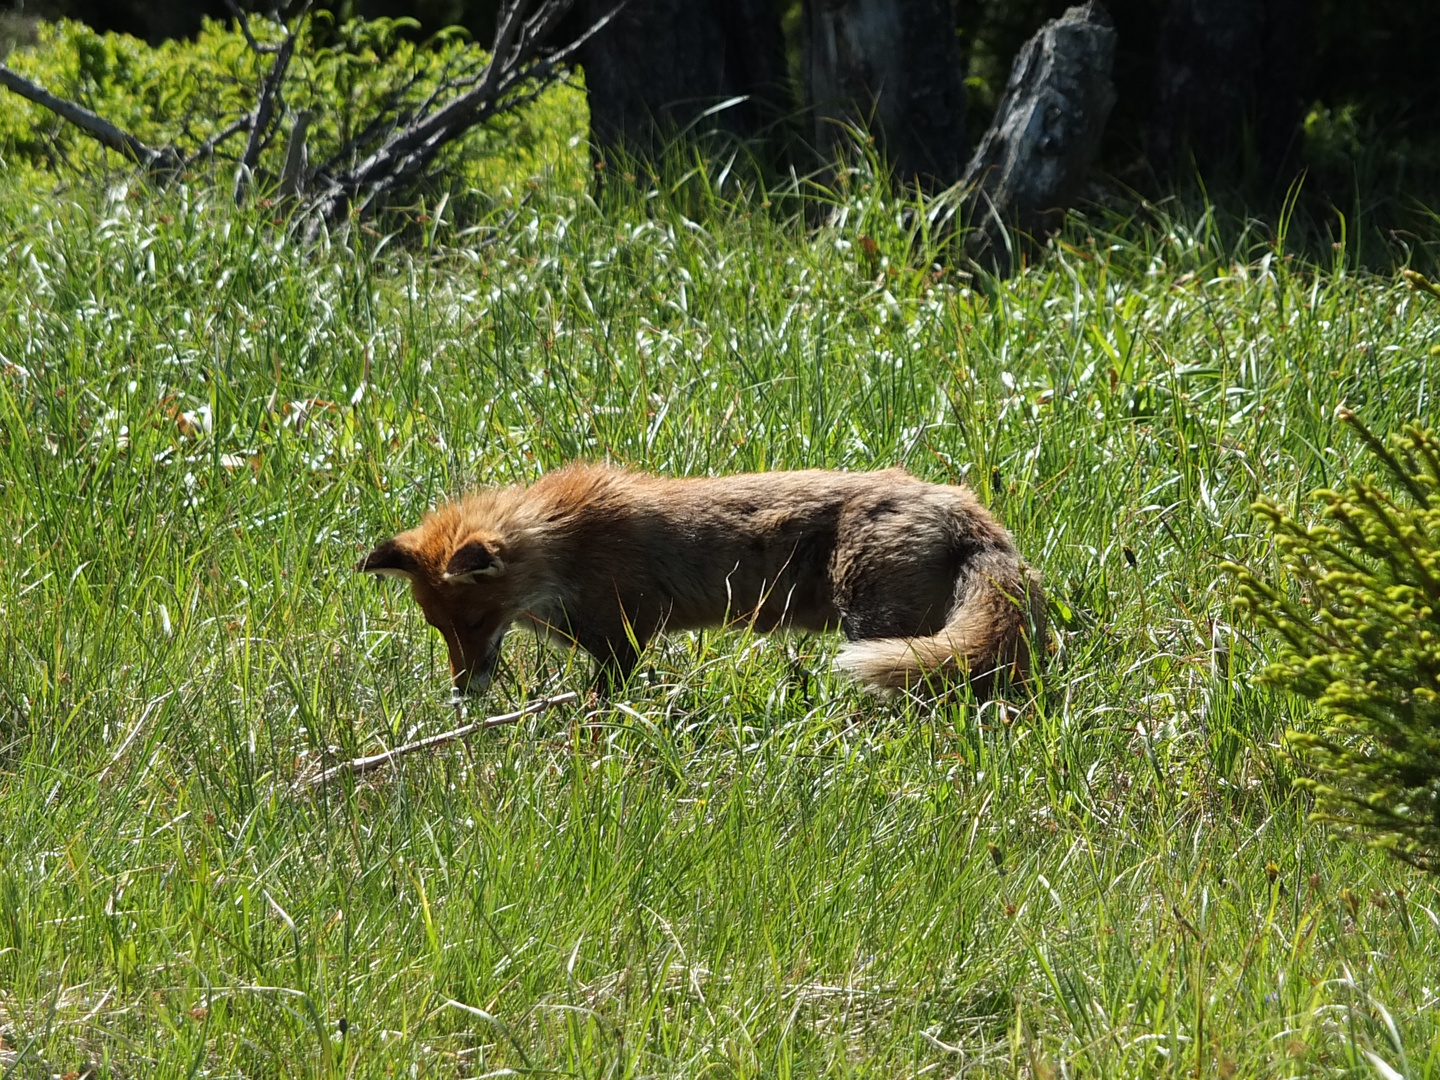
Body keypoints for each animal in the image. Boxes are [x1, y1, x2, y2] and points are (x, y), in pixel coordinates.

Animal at [352, 466, 1042, 702]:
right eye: (439, 629)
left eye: (474, 623)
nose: (462, 692)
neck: (562, 552)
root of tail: (963, 505)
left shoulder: (623, 640)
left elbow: (604, 704)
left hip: (871, 623)